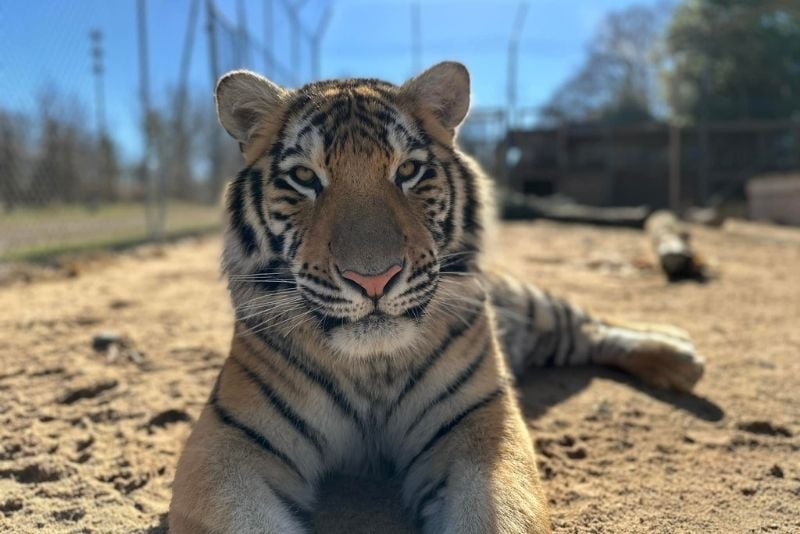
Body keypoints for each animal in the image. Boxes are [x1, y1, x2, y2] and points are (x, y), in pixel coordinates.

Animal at [167, 60, 700, 532]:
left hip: (533, 307)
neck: (372, 369)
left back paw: (680, 354)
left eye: (409, 171)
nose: (374, 279)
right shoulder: (230, 441)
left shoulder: (479, 423)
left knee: (587, 323)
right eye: (304, 178)